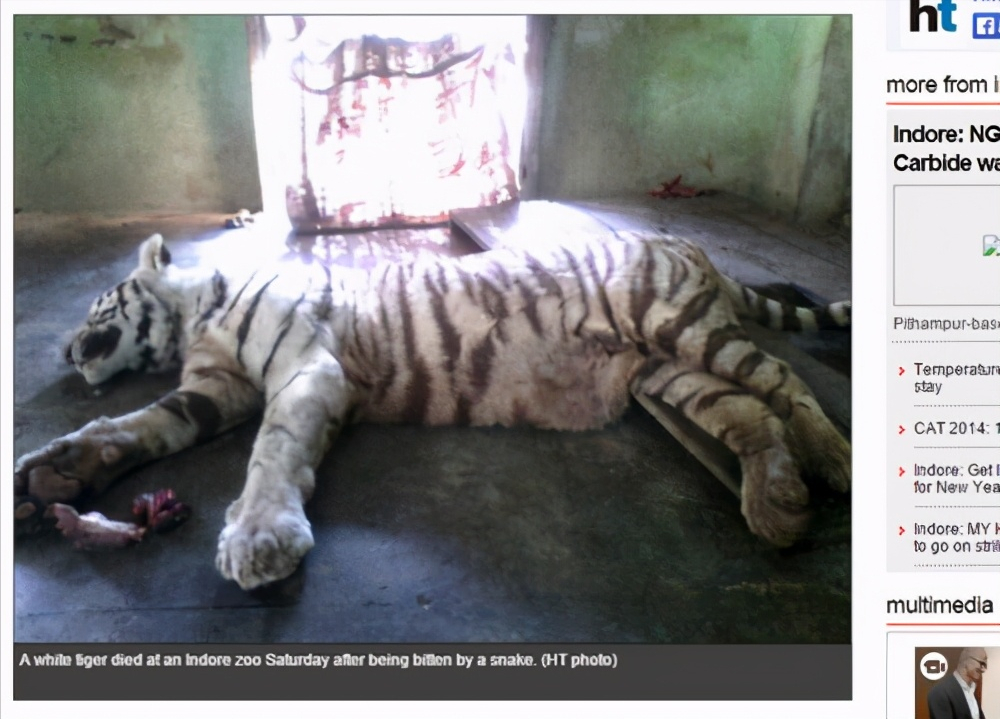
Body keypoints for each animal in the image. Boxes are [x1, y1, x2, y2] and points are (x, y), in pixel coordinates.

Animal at [11, 231, 848, 592]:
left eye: (96, 305)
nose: (64, 351)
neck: (193, 319)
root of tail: (685, 241)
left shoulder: (305, 369)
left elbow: (272, 450)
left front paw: (258, 538)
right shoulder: (215, 389)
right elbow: (137, 426)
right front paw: (52, 474)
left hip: (681, 324)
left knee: (783, 382)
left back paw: (832, 460)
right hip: (663, 370)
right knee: (749, 411)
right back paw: (778, 502)